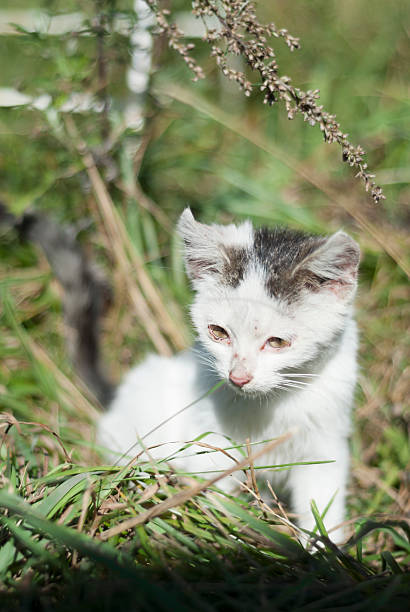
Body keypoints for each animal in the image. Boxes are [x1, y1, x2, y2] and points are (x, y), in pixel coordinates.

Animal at [97, 208, 358, 544]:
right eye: (218, 332)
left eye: (277, 342)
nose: (238, 377)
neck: (272, 405)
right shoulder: (209, 446)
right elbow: (215, 501)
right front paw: (228, 543)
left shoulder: (326, 447)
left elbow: (322, 509)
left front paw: (323, 552)